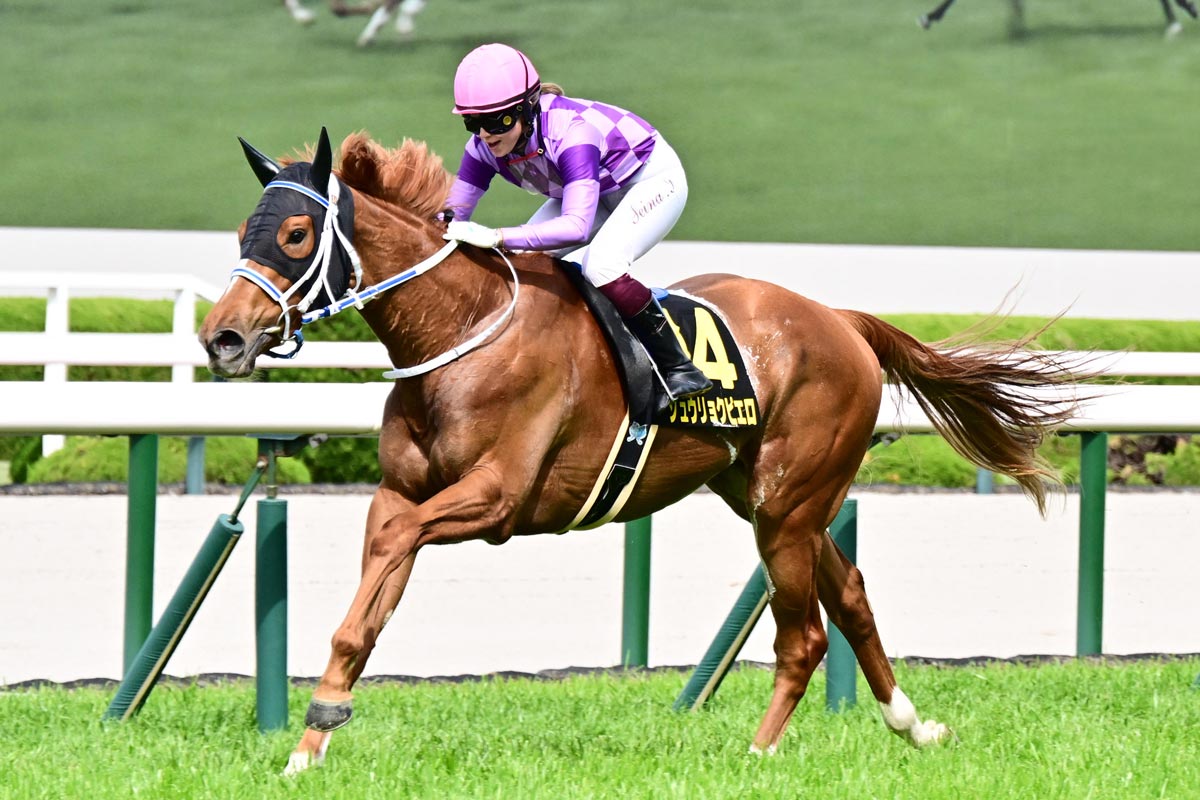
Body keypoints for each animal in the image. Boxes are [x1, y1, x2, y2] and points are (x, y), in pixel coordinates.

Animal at [199, 128, 1087, 775]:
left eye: (296, 232)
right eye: (242, 231)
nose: (223, 338)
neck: (461, 332)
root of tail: (840, 319)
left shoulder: (496, 499)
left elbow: (393, 548)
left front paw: (318, 725)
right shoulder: (400, 491)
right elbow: (368, 605)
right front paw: (310, 744)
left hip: (789, 503)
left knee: (803, 635)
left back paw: (759, 754)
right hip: (772, 500)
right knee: (854, 595)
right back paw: (912, 725)